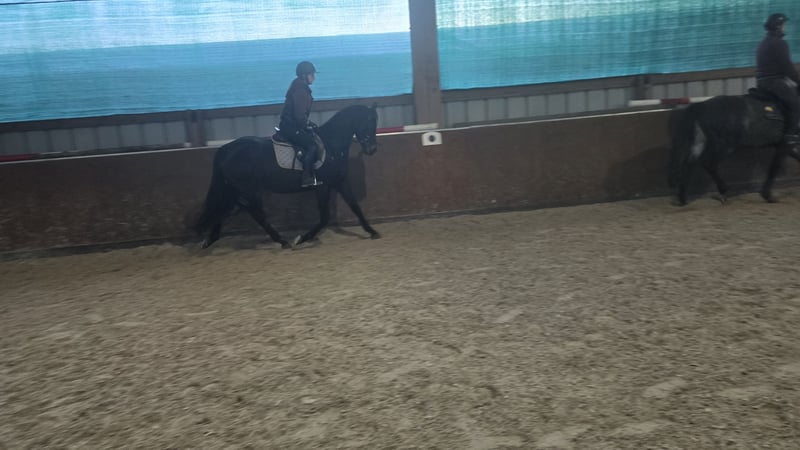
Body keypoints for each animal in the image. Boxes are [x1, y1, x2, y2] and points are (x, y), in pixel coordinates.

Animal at [193, 104, 381, 249]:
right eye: (368, 123)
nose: (372, 149)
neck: (331, 145)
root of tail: (226, 149)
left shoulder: (339, 181)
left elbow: (354, 206)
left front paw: (372, 231)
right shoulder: (322, 186)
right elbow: (324, 217)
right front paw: (301, 238)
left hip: (236, 188)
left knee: (228, 208)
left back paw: (211, 239)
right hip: (248, 189)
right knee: (253, 212)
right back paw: (282, 240)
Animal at [669, 90, 800, 205]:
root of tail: (702, 106)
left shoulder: (785, 145)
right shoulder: (785, 145)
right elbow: (774, 168)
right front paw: (768, 196)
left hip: (701, 141)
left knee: (690, 164)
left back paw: (683, 200)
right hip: (725, 146)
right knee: (708, 163)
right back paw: (723, 192)